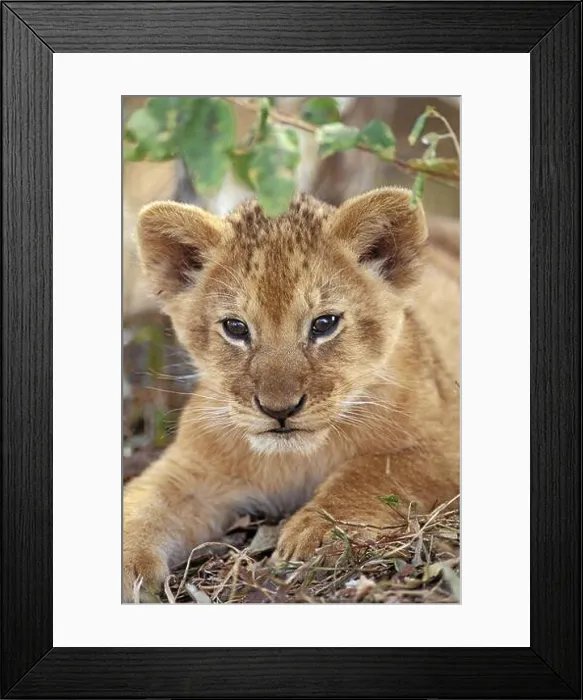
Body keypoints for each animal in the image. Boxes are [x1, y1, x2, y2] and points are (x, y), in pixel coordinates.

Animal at [123, 187, 460, 602]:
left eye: (325, 324)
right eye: (235, 327)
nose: (278, 410)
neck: (296, 459)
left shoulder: (447, 437)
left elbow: (374, 471)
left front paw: (318, 534)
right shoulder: (191, 468)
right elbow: (144, 504)